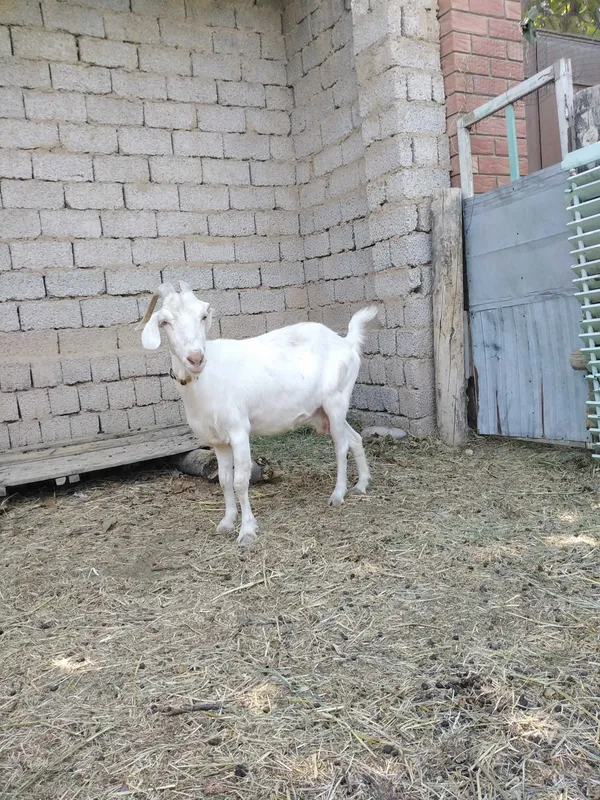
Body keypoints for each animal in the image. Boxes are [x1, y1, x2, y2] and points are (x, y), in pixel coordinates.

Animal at [140, 281, 378, 546]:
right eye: (165, 322)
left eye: (203, 316)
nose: (196, 358)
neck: (206, 379)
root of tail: (346, 342)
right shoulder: (218, 440)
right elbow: (224, 481)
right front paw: (226, 522)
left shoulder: (239, 431)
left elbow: (240, 481)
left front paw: (247, 531)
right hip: (322, 410)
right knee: (354, 438)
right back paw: (362, 485)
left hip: (336, 400)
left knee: (341, 446)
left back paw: (338, 494)